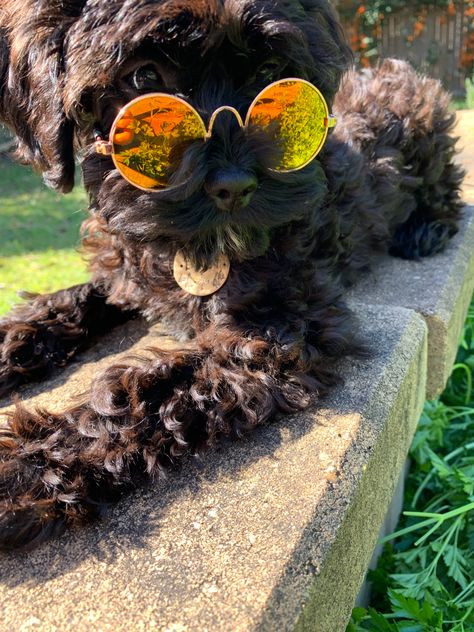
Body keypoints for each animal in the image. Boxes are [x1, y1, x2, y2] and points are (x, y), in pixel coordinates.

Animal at [0, 0, 464, 552]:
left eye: (270, 74)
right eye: (144, 77)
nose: (234, 184)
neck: (191, 246)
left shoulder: (279, 331)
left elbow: (145, 394)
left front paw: (25, 468)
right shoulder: (125, 270)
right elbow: (75, 299)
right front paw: (14, 342)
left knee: (446, 191)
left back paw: (425, 231)